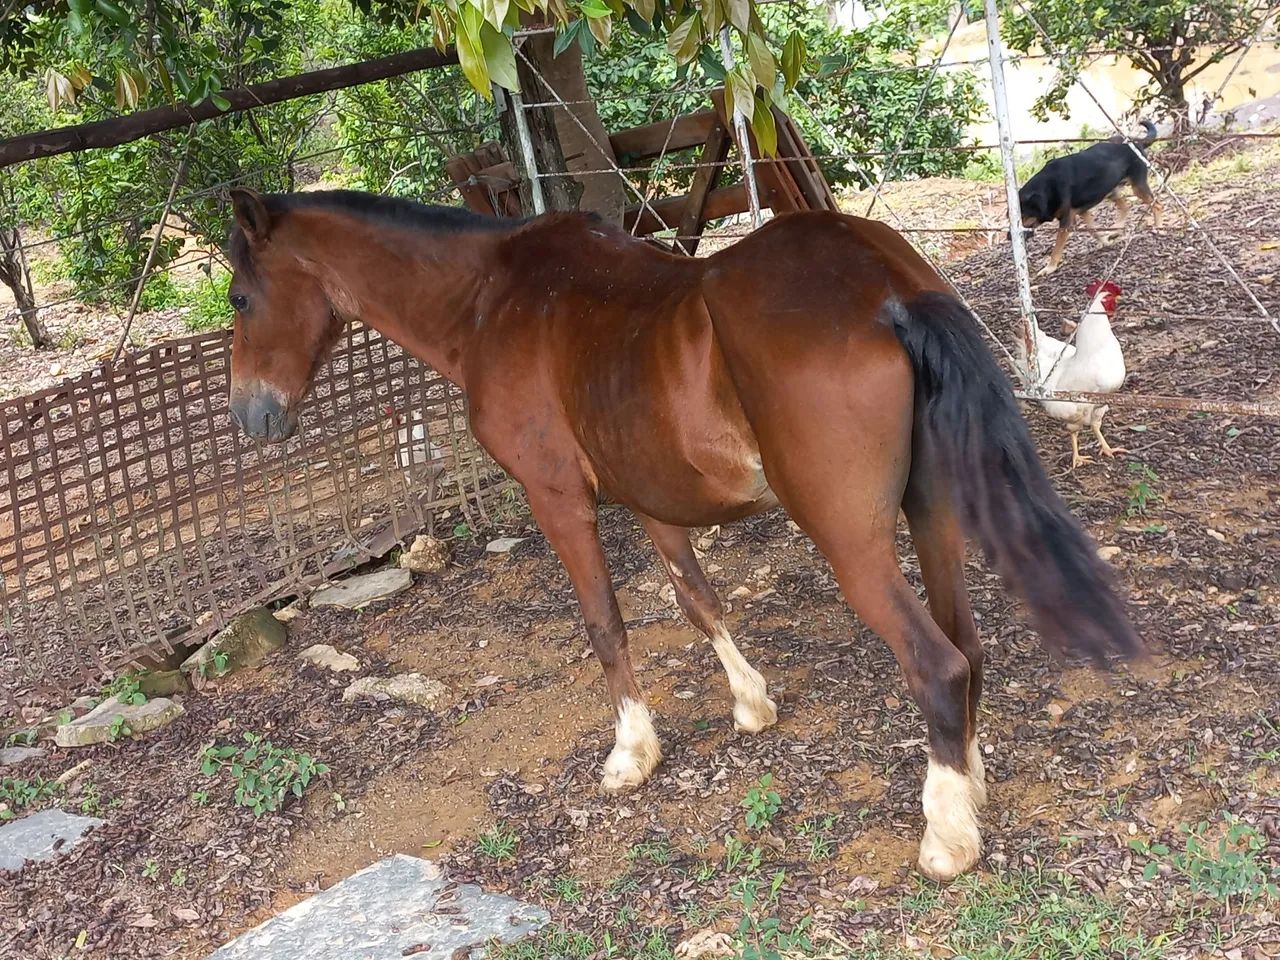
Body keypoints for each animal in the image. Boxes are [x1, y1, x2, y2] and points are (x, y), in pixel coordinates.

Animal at [225, 187, 1141, 882]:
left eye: (238, 297)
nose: (250, 417)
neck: (492, 295)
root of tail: (888, 286)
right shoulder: (653, 502)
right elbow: (698, 601)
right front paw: (751, 703)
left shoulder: (559, 500)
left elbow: (605, 625)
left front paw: (633, 751)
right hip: (933, 515)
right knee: (969, 646)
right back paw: (968, 788)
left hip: (853, 544)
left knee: (938, 665)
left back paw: (945, 837)